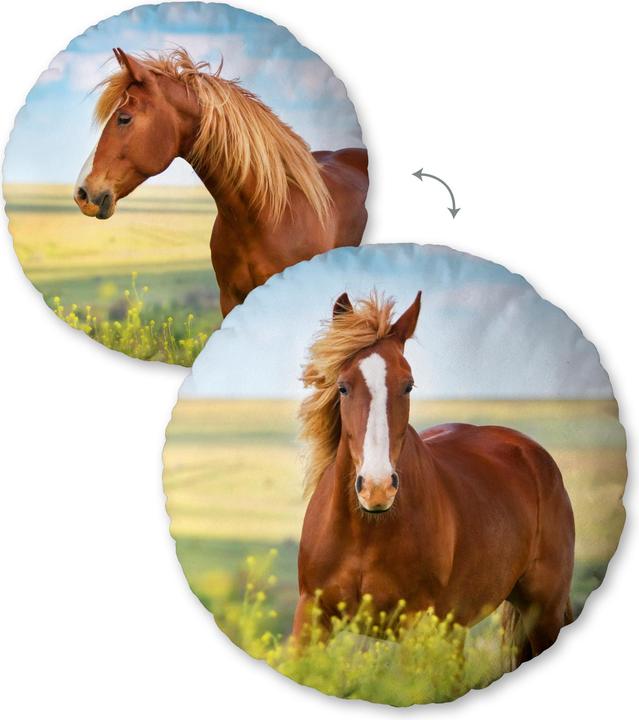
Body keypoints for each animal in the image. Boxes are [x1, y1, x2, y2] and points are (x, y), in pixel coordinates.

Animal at [295, 292, 575, 668]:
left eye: (408, 385)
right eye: (342, 387)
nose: (377, 488)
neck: (366, 532)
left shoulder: (416, 626)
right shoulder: (310, 616)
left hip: (543, 613)